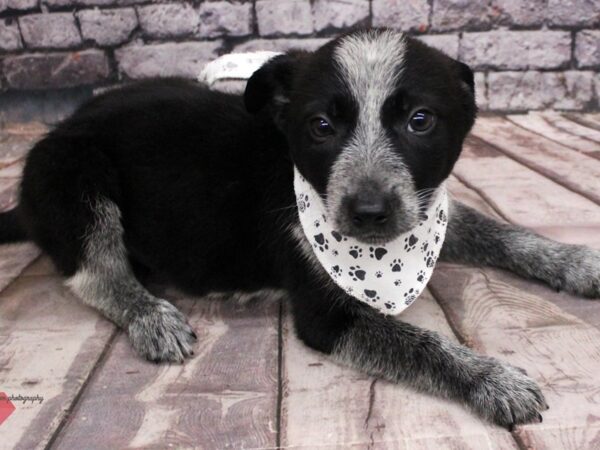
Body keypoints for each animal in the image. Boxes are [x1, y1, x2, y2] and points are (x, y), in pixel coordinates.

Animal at [1, 29, 600, 428]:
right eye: (321, 126)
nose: (368, 212)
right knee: (92, 273)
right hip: (74, 170)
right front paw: (491, 379)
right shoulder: (326, 316)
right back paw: (149, 314)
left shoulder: (425, 211)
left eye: (420, 120)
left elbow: (500, 231)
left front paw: (575, 261)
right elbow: (423, 345)